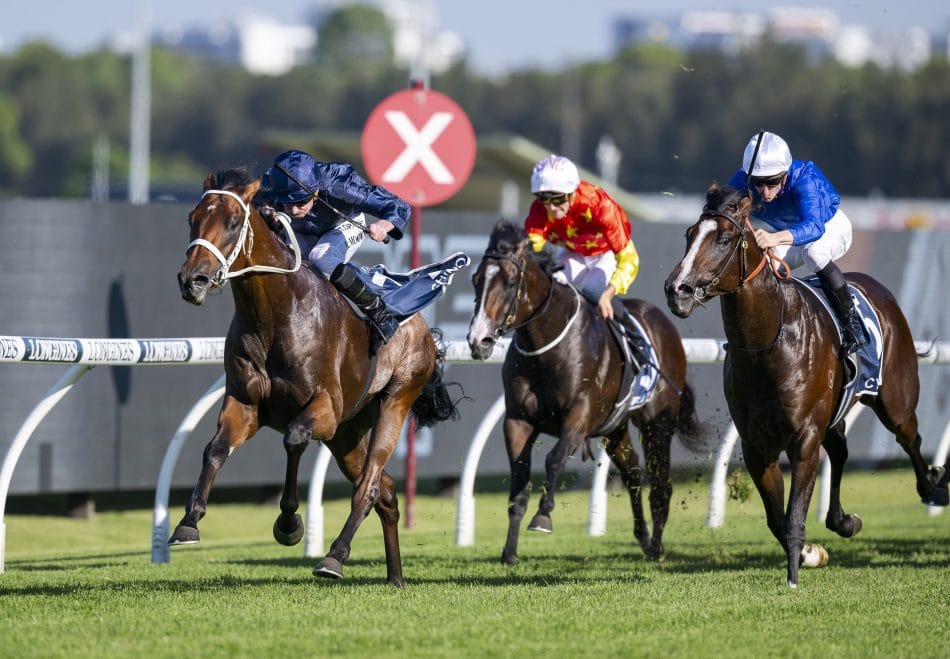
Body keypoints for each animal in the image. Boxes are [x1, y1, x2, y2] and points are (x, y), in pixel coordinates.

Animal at [178, 166, 464, 588]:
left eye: (232, 222)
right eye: (192, 218)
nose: (192, 280)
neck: (277, 315)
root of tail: (422, 328)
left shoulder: (324, 408)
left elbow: (295, 438)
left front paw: (289, 523)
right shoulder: (245, 403)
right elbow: (214, 449)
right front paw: (188, 522)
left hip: (395, 400)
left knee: (369, 487)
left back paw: (334, 556)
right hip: (347, 433)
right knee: (386, 491)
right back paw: (395, 577)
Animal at [468, 220, 708, 564]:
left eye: (511, 281)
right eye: (476, 279)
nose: (478, 340)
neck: (547, 347)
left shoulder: (579, 414)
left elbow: (554, 460)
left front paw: (543, 517)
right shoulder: (517, 420)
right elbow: (519, 484)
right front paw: (510, 551)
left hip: (657, 423)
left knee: (661, 483)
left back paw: (658, 546)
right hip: (615, 428)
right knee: (633, 472)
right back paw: (644, 537)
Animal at [664, 184, 948, 588]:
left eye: (723, 239)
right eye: (689, 235)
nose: (678, 290)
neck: (768, 343)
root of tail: (879, 289)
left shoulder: (804, 436)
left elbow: (794, 515)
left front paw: (794, 577)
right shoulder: (757, 445)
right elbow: (776, 519)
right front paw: (810, 553)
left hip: (895, 399)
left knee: (910, 438)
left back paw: (934, 485)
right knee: (842, 451)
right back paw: (842, 521)